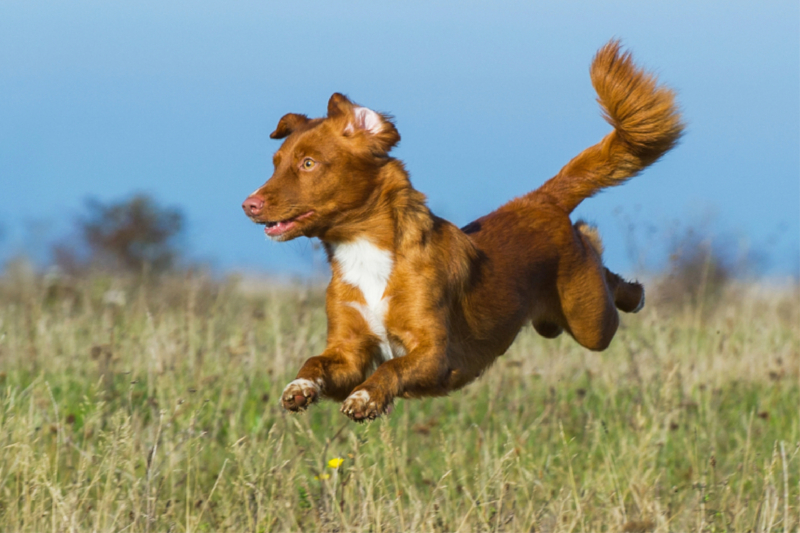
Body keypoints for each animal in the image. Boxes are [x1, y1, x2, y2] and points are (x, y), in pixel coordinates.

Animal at [242, 40, 680, 420]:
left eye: (309, 163)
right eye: (275, 163)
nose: (249, 205)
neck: (364, 251)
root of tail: (540, 200)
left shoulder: (434, 353)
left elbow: (392, 368)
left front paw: (367, 398)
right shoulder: (349, 352)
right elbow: (316, 361)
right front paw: (300, 387)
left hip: (589, 318)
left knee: (597, 259)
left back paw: (634, 292)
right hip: (554, 323)